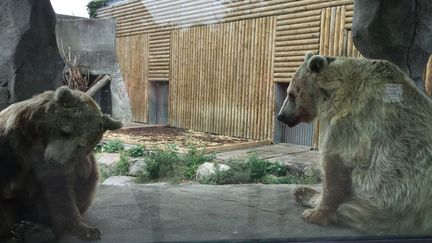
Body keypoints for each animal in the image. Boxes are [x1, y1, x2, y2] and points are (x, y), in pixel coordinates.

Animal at [0, 86, 123, 241]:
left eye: (82, 145)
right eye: (65, 132)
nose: (56, 161)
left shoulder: (57, 168)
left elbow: (60, 195)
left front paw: (88, 230)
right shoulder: (11, 146)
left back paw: (32, 231)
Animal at [278, 52, 432, 234]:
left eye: (291, 94)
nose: (281, 115)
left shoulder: (351, 122)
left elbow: (335, 165)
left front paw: (313, 214)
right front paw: (307, 196)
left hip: (398, 208)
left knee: (354, 210)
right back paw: (302, 192)